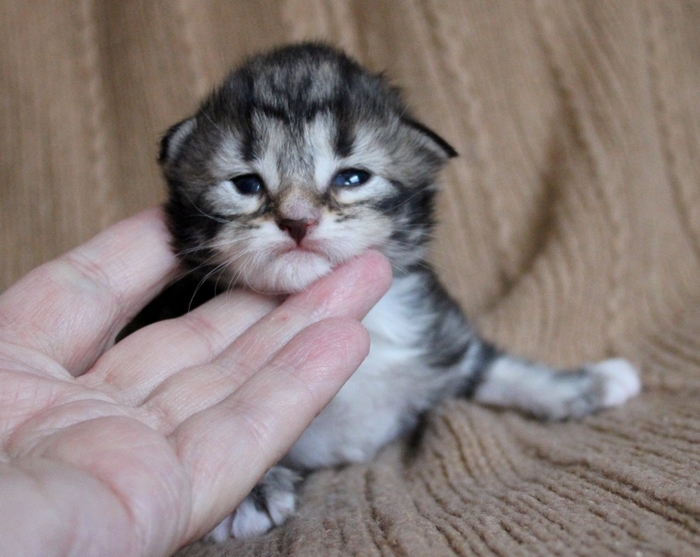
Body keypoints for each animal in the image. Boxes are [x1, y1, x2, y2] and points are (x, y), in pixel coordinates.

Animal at [158, 43, 640, 541]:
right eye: (246, 184)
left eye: (352, 178)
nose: (296, 221)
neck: (363, 320)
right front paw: (250, 491)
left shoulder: (443, 341)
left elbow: (502, 370)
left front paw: (587, 383)